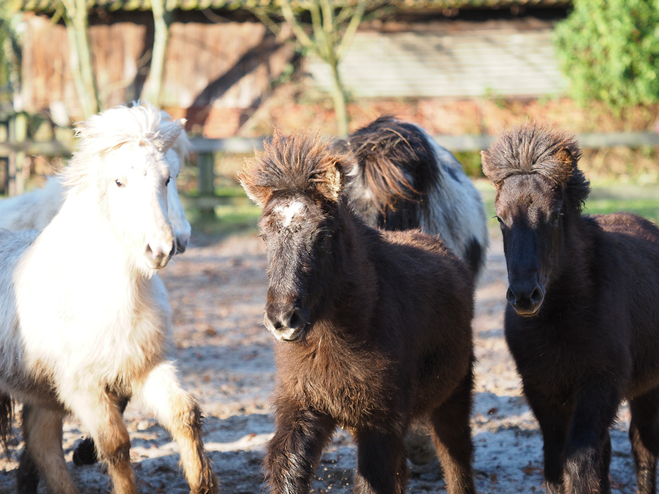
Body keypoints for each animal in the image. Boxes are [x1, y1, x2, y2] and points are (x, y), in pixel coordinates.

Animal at [240, 132, 476, 494]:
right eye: (265, 236)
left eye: (323, 235)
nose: (282, 320)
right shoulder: (304, 406)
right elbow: (288, 468)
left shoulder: (379, 423)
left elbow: (374, 479)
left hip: (453, 394)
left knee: (456, 457)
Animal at [482, 121, 659, 492]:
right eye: (500, 218)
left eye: (555, 214)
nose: (525, 296)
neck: (561, 322)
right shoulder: (540, 389)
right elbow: (555, 462)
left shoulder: (599, 386)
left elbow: (580, 462)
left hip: (648, 388)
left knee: (643, 449)